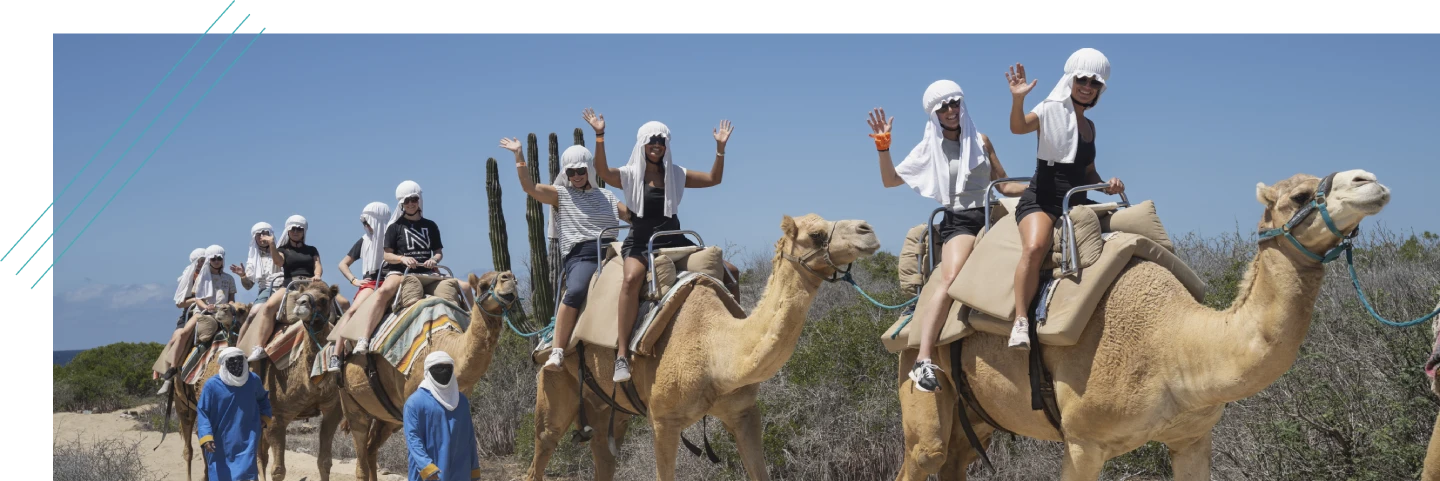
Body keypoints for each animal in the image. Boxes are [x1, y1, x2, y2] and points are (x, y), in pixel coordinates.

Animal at [336, 270, 511, 481]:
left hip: (388, 418)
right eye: (483, 285)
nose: (508, 278)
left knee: (371, 449)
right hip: (352, 404)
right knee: (361, 453)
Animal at [524, 213, 882, 481]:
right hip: (554, 387)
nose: (867, 230)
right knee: (542, 447)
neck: (714, 352)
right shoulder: (663, 420)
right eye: (816, 234)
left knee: (603, 456)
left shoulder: (743, 412)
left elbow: (759, 472)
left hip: (608, 409)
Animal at [888, 170, 1391, 480]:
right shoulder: (1083, 442)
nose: (1370, 181)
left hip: (979, 415)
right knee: (926, 454)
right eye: (1299, 197)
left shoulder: (1192, 438)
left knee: (955, 459)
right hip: (919, 376)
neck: (1174, 343)